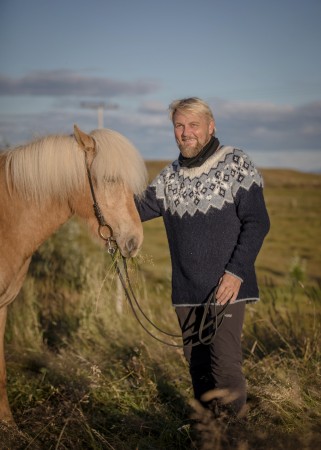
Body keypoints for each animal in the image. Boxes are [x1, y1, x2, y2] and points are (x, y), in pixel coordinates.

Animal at [0, 124, 148, 426]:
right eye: (110, 179)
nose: (134, 241)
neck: (6, 222)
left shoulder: (3, 308)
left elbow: (1, 373)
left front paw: (7, 424)